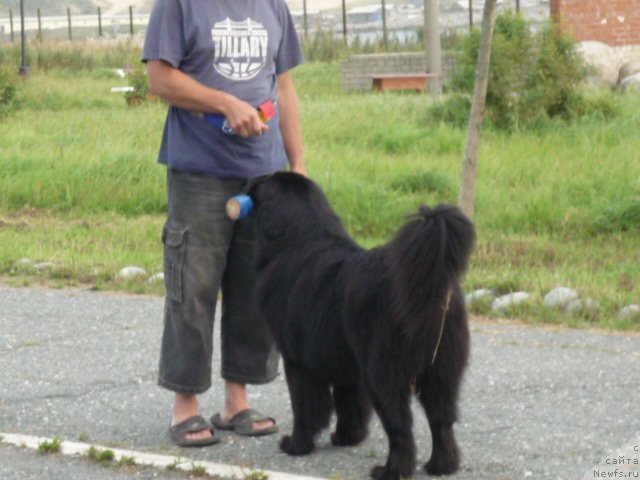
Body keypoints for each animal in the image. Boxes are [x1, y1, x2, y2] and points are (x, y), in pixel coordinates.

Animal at [248, 172, 472, 480]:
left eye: (264, 182)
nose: (250, 180)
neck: (298, 242)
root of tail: (430, 285)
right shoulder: (347, 365)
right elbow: (349, 403)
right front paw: (347, 437)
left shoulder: (298, 362)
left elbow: (306, 407)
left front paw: (296, 445)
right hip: (440, 371)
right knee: (442, 421)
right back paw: (441, 466)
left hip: (384, 374)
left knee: (401, 426)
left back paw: (391, 470)